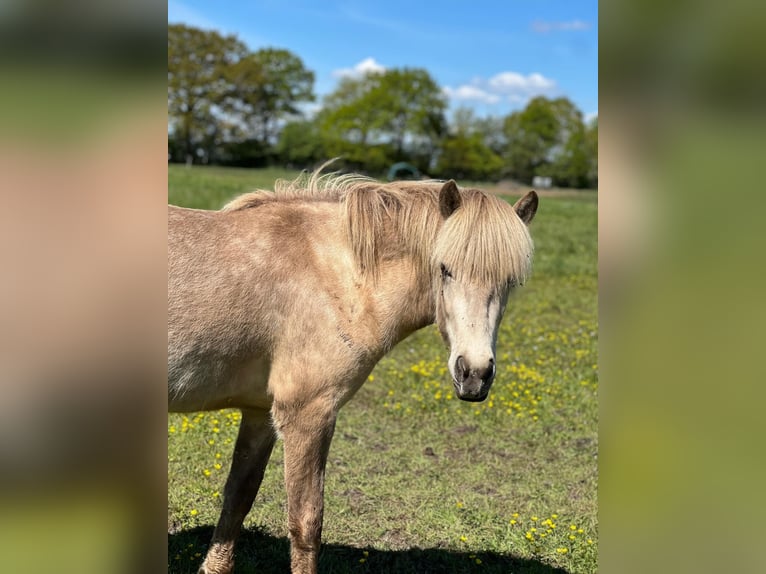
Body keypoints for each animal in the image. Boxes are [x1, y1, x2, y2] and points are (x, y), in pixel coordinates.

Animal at [168, 167, 538, 574]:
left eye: (511, 281)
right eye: (445, 269)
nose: (474, 374)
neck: (335, 274)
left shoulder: (259, 412)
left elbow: (238, 497)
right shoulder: (308, 415)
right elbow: (305, 520)